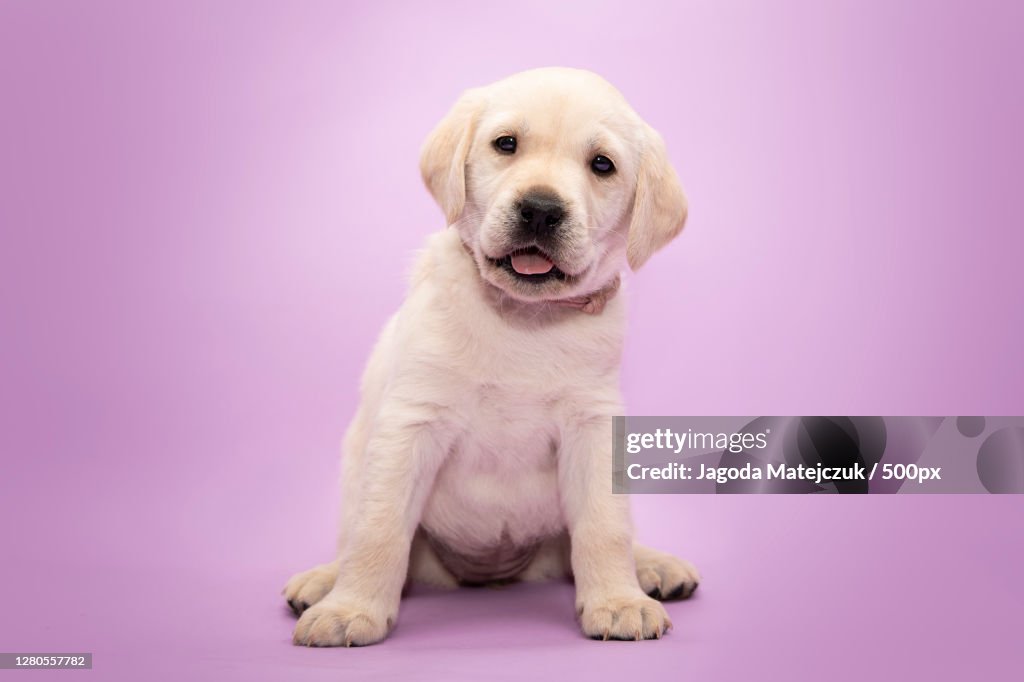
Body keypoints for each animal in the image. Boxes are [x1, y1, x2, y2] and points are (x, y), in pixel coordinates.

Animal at [284, 67, 700, 643]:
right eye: (506, 144)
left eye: (602, 165)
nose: (541, 210)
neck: (522, 319)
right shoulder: (410, 423)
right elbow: (380, 527)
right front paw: (351, 609)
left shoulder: (593, 426)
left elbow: (603, 525)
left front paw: (618, 600)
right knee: (355, 535)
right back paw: (324, 580)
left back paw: (653, 566)